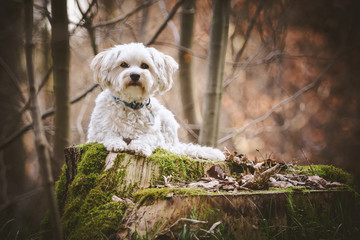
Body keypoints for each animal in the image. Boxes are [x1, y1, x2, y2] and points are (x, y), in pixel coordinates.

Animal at [86, 42, 225, 161]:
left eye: (144, 66)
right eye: (123, 64)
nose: (135, 75)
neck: (131, 104)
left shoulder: (155, 135)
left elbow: (148, 138)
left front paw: (139, 146)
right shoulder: (95, 134)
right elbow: (108, 134)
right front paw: (116, 143)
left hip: (168, 120)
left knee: (170, 147)